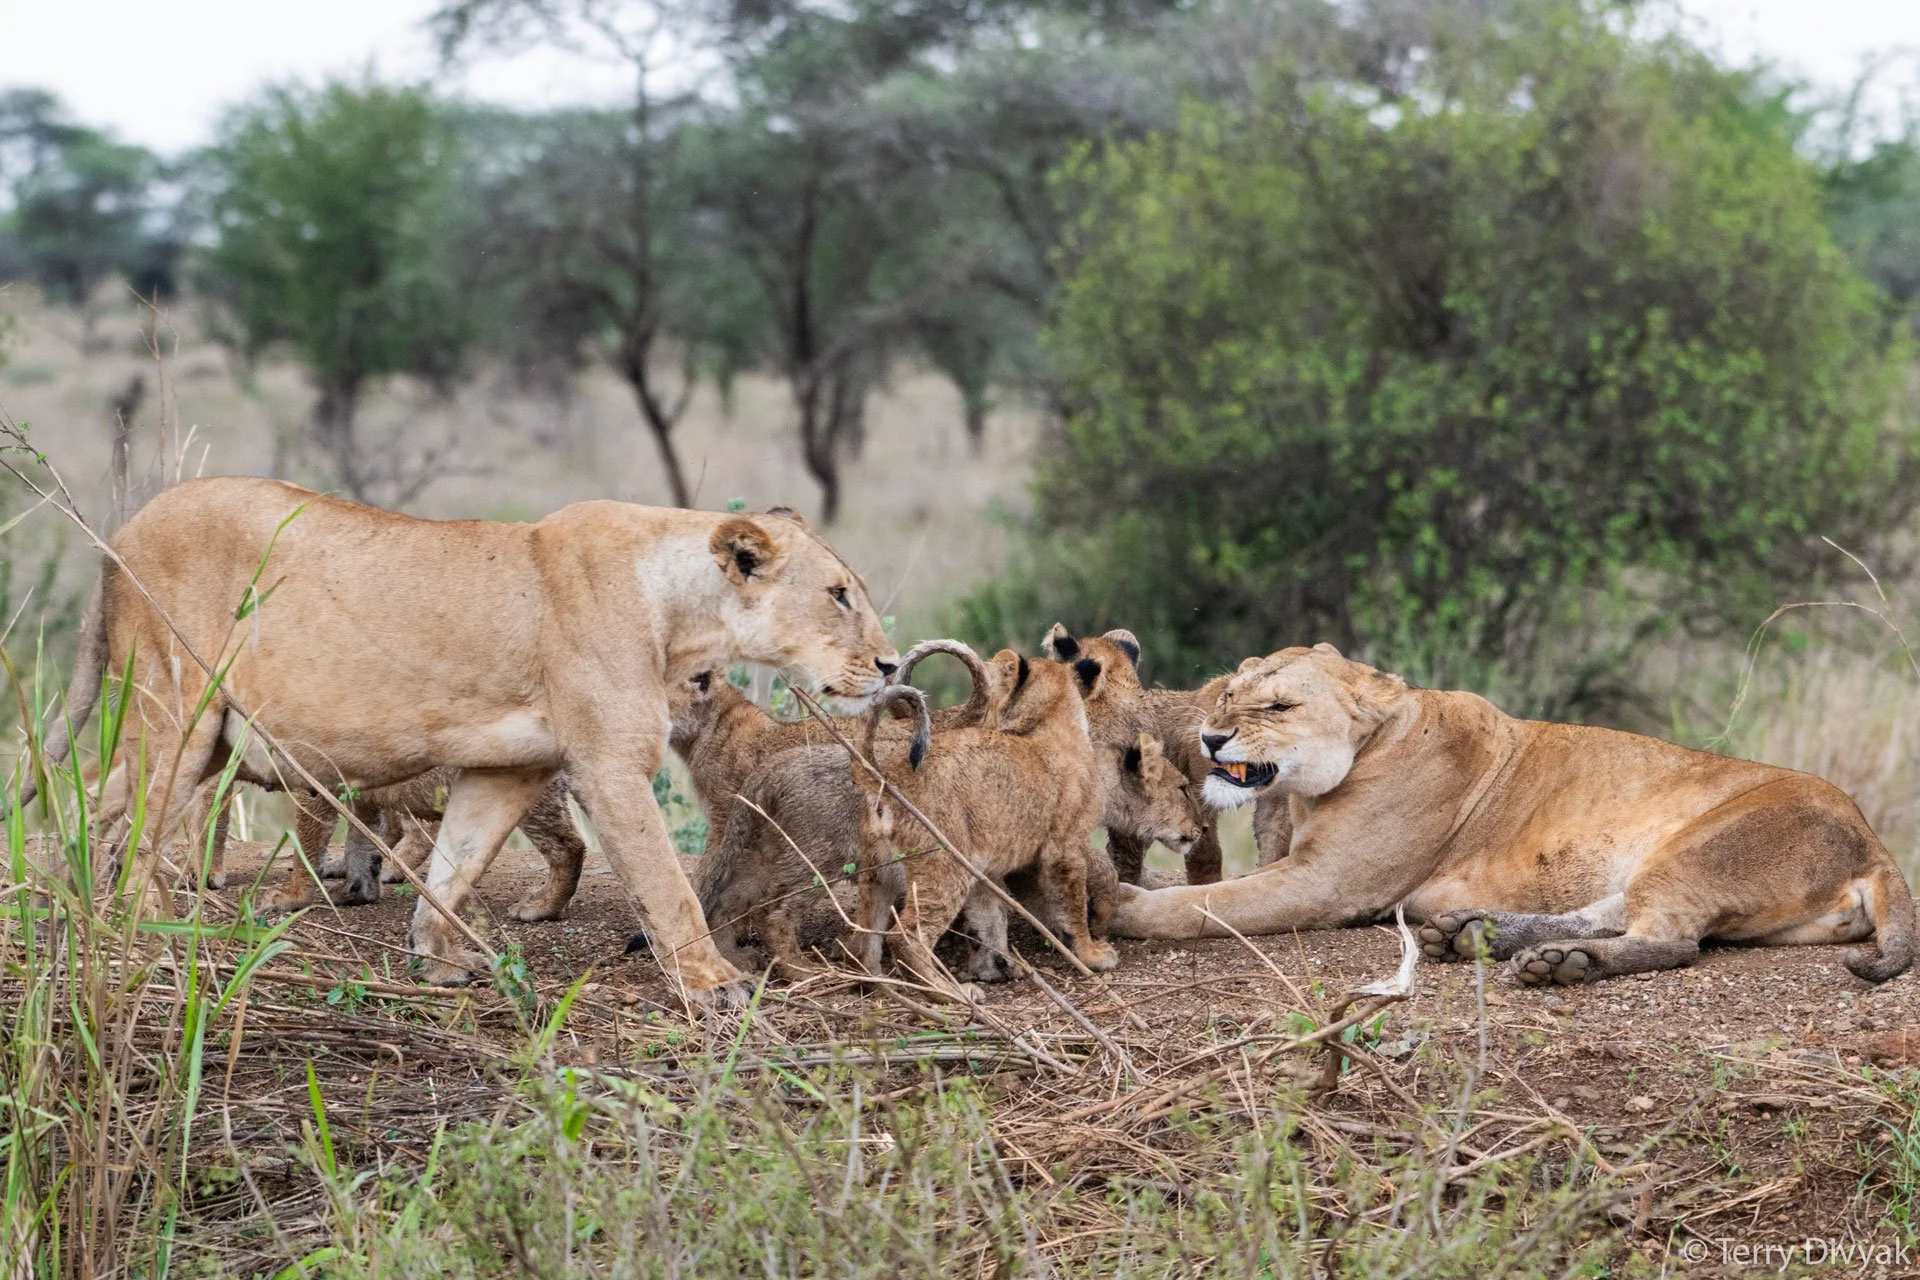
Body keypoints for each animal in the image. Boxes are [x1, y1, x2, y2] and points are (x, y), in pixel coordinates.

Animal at [34, 476, 899, 999]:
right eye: (839, 595)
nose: (890, 664)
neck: (682, 608)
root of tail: (121, 532)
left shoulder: (507, 769)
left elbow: (457, 864)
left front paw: (436, 959)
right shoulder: (610, 765)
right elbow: (667, 884)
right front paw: (712, 983)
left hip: (198, 731)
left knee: (96, 803)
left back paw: (72, 892)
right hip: (178, 703)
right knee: (140, 830)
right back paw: (150, 926)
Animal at [854, 650, 1116, 999]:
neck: (1050, 724)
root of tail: (885, 778)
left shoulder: (985, 867)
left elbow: (988, 919)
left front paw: (994, 967)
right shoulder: (1064, 849)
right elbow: (1072, 907)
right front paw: (1091, 954)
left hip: (877, 872)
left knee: (863, 939)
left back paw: (882, 987)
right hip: (945, 865)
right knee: (906, 936)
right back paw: (950, 992)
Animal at [1110, 644, 1915, 986]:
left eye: (1277, 707)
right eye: (1226, 696)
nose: (1212, 738)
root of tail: (1875, 847)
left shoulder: (1328, 884)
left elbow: (1209, 905)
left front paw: (1124, 908)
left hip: (1701, 848)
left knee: (1672, 940)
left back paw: (1559, 965)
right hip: (1657, 862)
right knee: (1609, 913)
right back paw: (1475, 936)